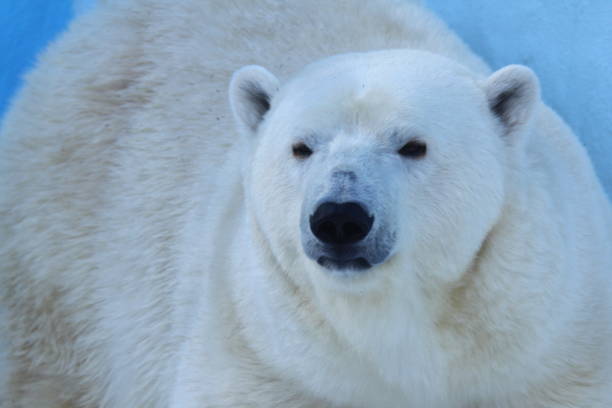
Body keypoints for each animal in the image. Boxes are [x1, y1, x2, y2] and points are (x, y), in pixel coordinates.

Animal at [0, 0, 608, 406]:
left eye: (413, 144)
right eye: (301, 146)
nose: (339, 217)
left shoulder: (547, 349)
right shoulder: (267, 355)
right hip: (60, 258)